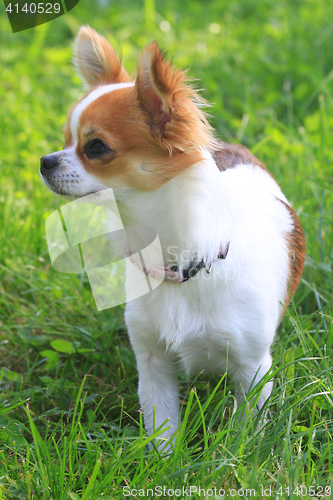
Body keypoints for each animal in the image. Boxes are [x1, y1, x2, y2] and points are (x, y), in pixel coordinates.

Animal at [40, 25, 304, 452]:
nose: (45, 162)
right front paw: (163, 461)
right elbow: (161, 427)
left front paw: (236, 454)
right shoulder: (153, 363)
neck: (183, 264)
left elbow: (246, 430)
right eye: (65, 141)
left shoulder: (252, 369)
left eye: (96, 148)